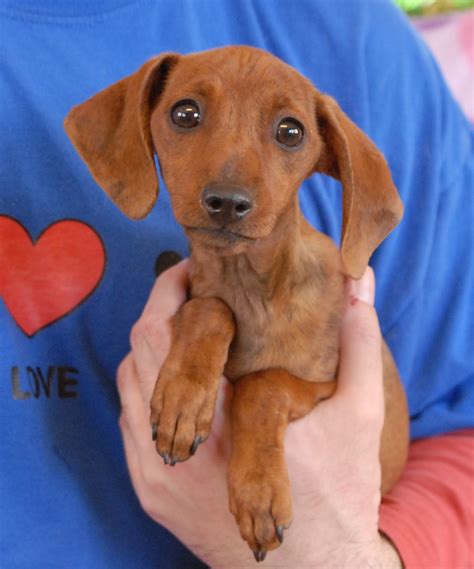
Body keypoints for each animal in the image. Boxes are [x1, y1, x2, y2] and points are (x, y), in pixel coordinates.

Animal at [65, 44, 410, 560]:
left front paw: (259, 492)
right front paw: (184, 399)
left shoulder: (323, 387)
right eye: (185, 113)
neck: (249, 287)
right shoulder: (198, 297)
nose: (228, 202)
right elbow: (210, 308)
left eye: (291, 131)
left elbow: (263, 385)